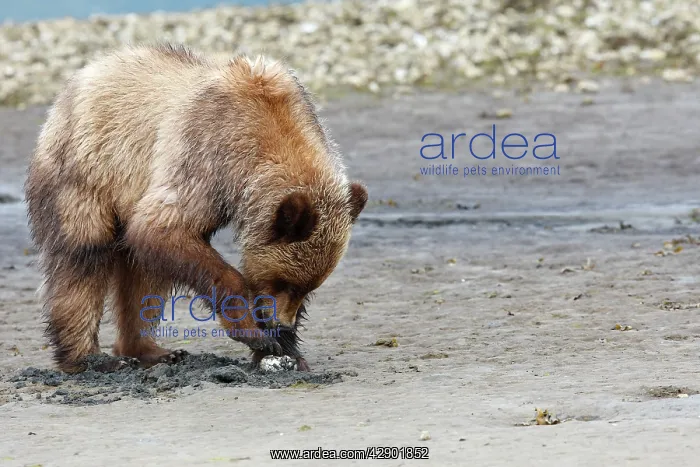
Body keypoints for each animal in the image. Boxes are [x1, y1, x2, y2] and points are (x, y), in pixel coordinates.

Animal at [24, 43, 367, 374]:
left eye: (308, 287)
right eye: (283, 281)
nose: (280, 323)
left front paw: (287, 350)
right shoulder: (206, 155)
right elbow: (163, 227)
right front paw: (253, 332)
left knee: (144, 271)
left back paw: (152, 351)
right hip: (88, 172)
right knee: (83, 259)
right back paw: (90, 358)